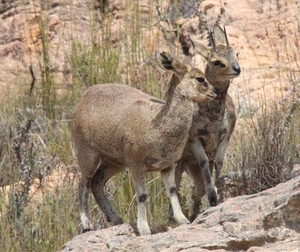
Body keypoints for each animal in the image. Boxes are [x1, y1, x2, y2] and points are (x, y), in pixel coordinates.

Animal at [71, 51, 216, 234]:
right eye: (200, 78)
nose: (214, 92)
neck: (158, 125)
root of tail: (83, 98)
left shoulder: (167, 165)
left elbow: (172, 190)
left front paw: (183, 219)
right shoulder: (136, 164)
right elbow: (142, 195)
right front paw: (144, 228)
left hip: (114, 161)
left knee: (97, 183)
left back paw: (116, 218)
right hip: (87, 154)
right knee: (83, 183)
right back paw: (87, 224)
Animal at [173, 24, 241, 220]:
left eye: (236, 53)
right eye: (217, 61)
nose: (237, 69)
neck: (213, 118)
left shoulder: (225, 137)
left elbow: (219, 162)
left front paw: (220, 194)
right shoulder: (196, 140)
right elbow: (204, 162)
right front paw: (213, 198)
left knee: (196, 191)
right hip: (180, 163)